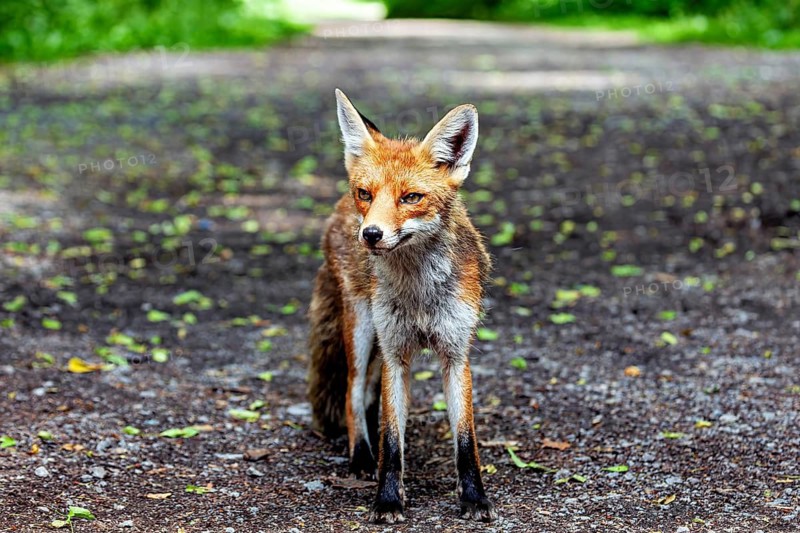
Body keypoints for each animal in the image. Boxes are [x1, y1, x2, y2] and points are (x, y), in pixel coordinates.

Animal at [307, 89, 496, 523]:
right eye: (367, 194)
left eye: (411, 197)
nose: (371, 234)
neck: (419, 293)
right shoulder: (395, 354)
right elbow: (392, 441)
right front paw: (388, 499)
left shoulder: (456, 354)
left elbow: (466, 440)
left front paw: (473, 498)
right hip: (362, 330)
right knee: (353, 392)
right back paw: (362, 457)